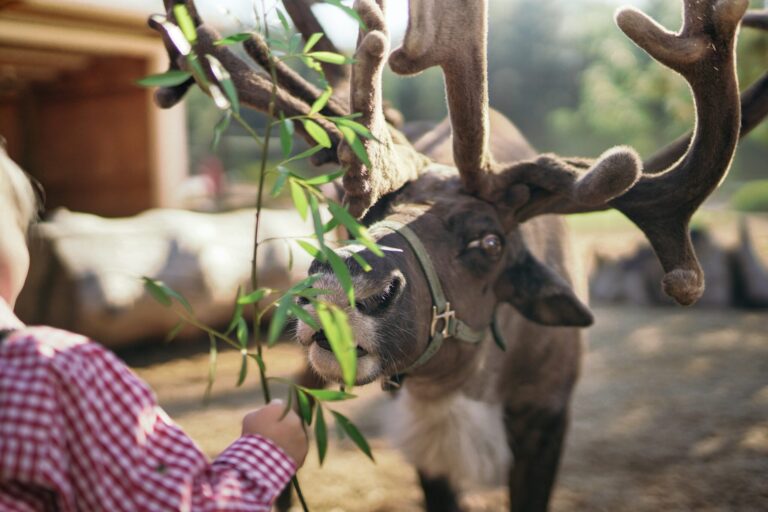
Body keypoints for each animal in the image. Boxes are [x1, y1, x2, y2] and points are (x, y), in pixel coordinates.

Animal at [148, 1, 768, 510]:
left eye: (490, 242)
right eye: (355, 211)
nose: (341, 287)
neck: (466, 388)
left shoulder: (547, 418)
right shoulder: (430, 449)